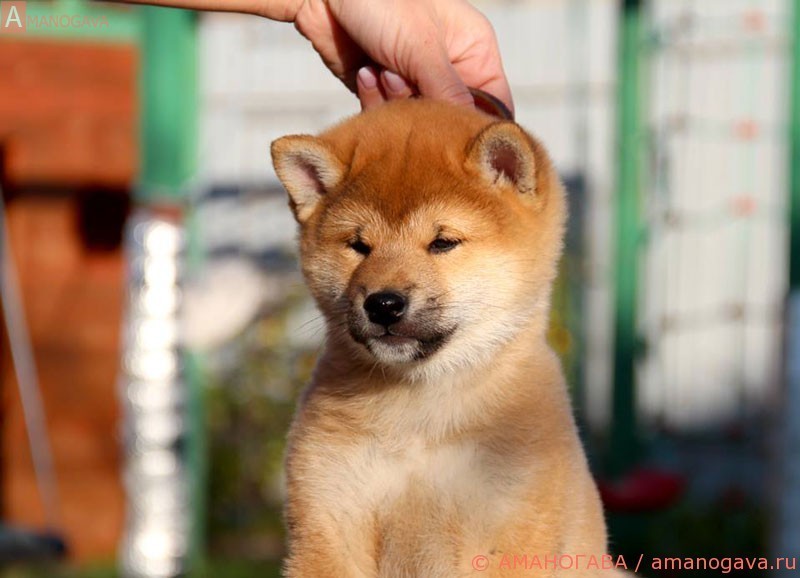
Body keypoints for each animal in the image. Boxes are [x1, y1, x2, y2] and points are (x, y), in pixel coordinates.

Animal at [271, 99, 617, 577]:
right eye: (358, 245)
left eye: (443, 242)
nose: (383, 304)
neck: (419, 412)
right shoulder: (327, 519)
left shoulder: (510, 526)